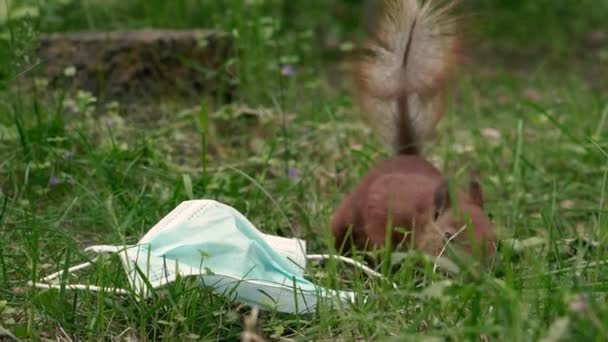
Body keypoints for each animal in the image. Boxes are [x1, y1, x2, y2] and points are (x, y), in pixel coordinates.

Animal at [330, 0, 496, 262]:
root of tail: (406, 155)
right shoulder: (386, 201)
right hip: (345, 216)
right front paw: (384, 255)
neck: (424, 214)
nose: (481, 266)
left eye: (493, 234)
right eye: (448, 236)